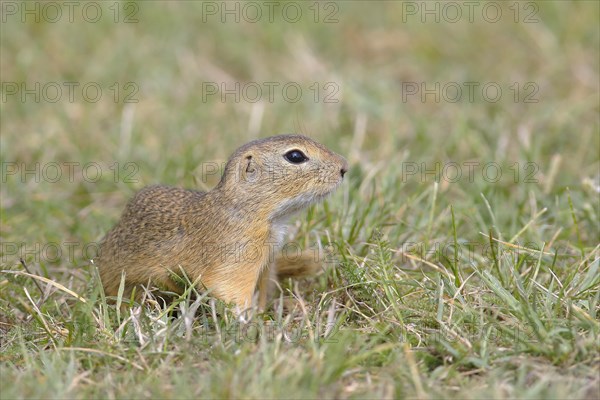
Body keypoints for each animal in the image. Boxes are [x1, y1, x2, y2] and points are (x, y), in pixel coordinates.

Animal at [96, 136, 350, 310]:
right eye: (295, 156)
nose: (344, 167)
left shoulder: (267, 263)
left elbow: (263, 289)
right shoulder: (237, 256)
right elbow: (229, 290)